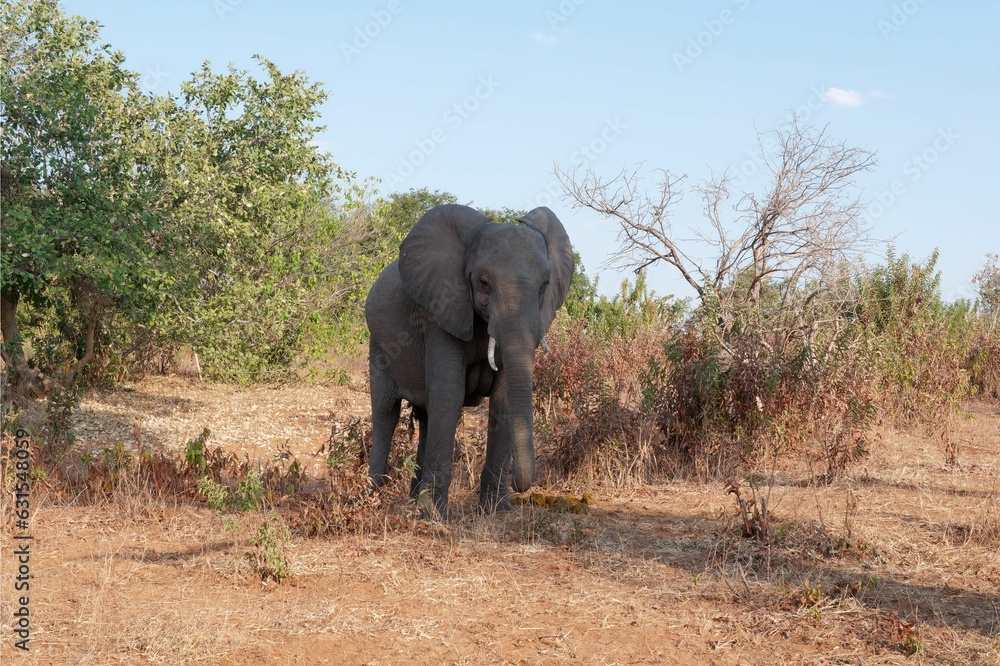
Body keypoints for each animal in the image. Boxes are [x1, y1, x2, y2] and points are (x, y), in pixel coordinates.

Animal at [365, 204, 574, 518]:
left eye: (545, 285)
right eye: (483, 282)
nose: (522, 487)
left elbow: (504, 400)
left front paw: (499, 512)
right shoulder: (440, 311)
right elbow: (449, 395)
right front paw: (436, 516)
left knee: (425, 417)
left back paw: (413, 502)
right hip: (379, 344)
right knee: (386, 411)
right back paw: (370, 500)